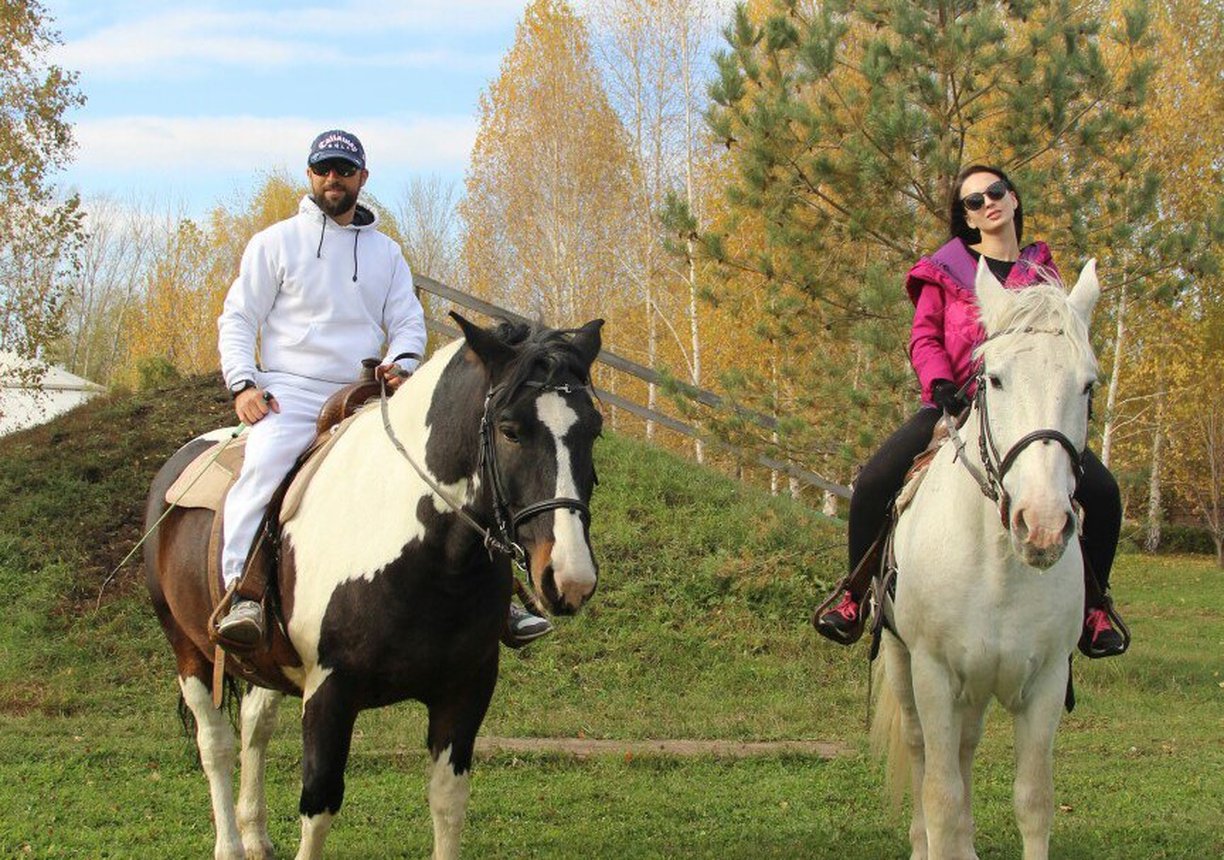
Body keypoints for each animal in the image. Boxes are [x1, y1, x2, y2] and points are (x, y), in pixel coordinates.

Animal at [145, 315, 604, 860]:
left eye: (593, 430)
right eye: (510, 430)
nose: (570, 577)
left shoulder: (466, 689)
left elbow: (448, 801)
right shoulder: (330, 692)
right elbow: (318, 804)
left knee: (256, 727)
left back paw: (254, 834)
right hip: (187, 649)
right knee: (215, 744)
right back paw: (232, 844)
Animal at [871, 259, 1101, 860]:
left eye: (1088, 384)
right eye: (994, 378)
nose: (1041, 525)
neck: (998, 568)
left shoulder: (1046, 681)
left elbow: (1034, 802)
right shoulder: (932, 673)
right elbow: (941, 796)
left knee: (965, 748)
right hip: (905, 664)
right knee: (923, 752)